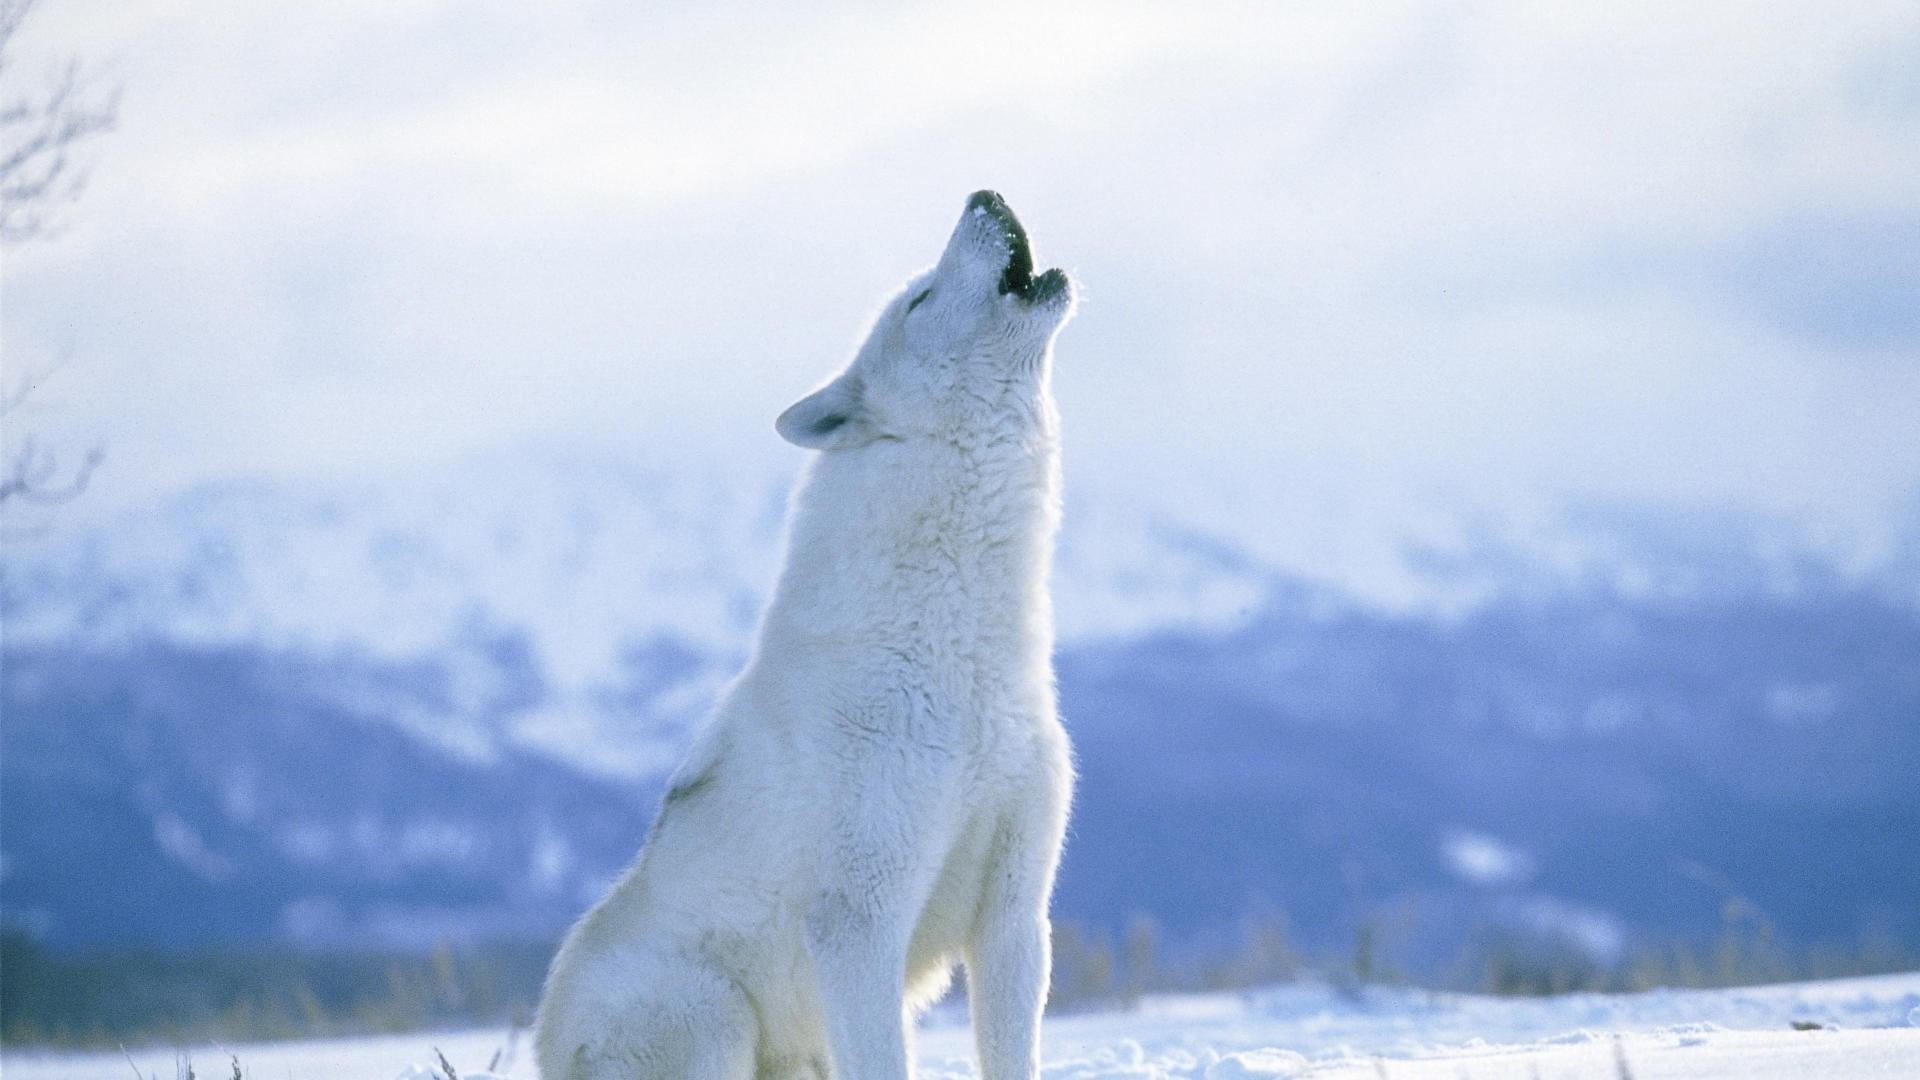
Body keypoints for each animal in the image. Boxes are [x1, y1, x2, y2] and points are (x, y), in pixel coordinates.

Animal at [533, 193, 1082, 1076]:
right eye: (919, 300)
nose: (985, 195)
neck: (959, 662)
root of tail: (544, 1047)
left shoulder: (1016, 917)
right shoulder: (859, 927)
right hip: (715, 1017)